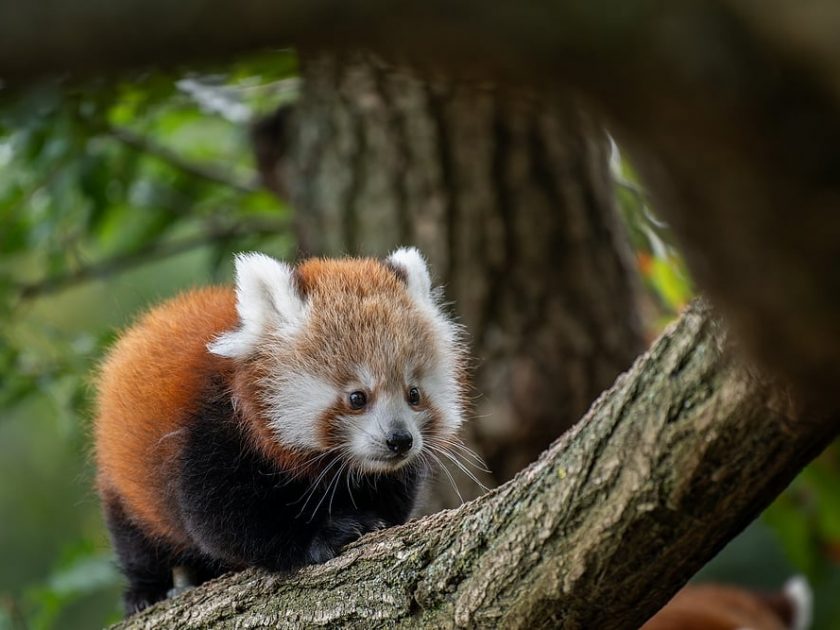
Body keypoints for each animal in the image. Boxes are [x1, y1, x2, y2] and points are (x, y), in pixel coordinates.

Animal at [97, 249, 472, 616]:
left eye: (413, 394)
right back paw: (145, 590)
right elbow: (225, 520)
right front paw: (326, 534)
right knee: (135, 535)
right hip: (125, 474)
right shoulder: (210, 434)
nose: (400, 440)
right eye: (357, 397)